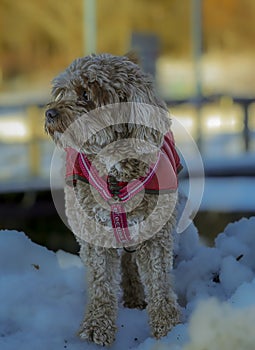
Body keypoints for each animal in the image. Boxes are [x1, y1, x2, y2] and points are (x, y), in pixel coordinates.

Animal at [45, 53, 181, 346]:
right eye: (63, 91)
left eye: (85, 94)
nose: (49, 113)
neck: (115, 177)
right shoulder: (93, 233)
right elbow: (101, 284)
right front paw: (96, 327)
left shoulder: (155, 234)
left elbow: (159, 280)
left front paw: (169, 328)